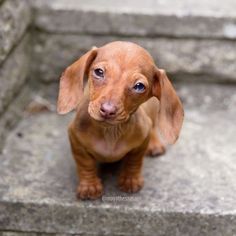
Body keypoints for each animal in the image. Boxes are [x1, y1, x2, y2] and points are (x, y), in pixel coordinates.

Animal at [57, 41, 184, 199]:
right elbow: (85, 164)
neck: (110, 132)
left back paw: (154, 144)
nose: (107, 110)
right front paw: (89, 186)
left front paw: (130, 180)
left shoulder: (142, 140)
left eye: (139, 86)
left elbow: (134, 161)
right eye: (99, 72)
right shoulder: (76, 140)